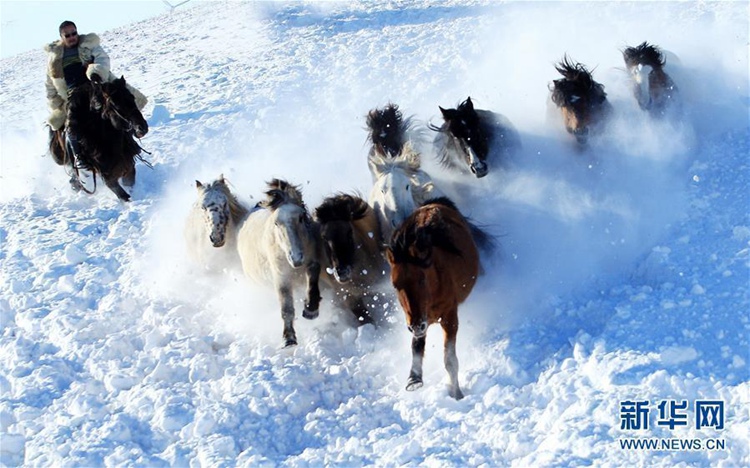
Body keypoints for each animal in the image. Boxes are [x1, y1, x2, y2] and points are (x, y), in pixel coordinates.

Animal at [236, 179, 322, 348]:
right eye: (276, 223)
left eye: (301, 217)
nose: (296, 258)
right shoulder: (281, 276)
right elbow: (286, 306)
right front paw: (289, 339)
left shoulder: (312, 261)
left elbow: (313, 279)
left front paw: (311, 309)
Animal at [384, 196, 484, 400]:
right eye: (395, 285)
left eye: (422, 279)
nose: (415, 325)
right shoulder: (419, 320)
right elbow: (416, 347)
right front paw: (414, 379)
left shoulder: (449, 316)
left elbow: (450, 359)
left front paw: (456, 394)